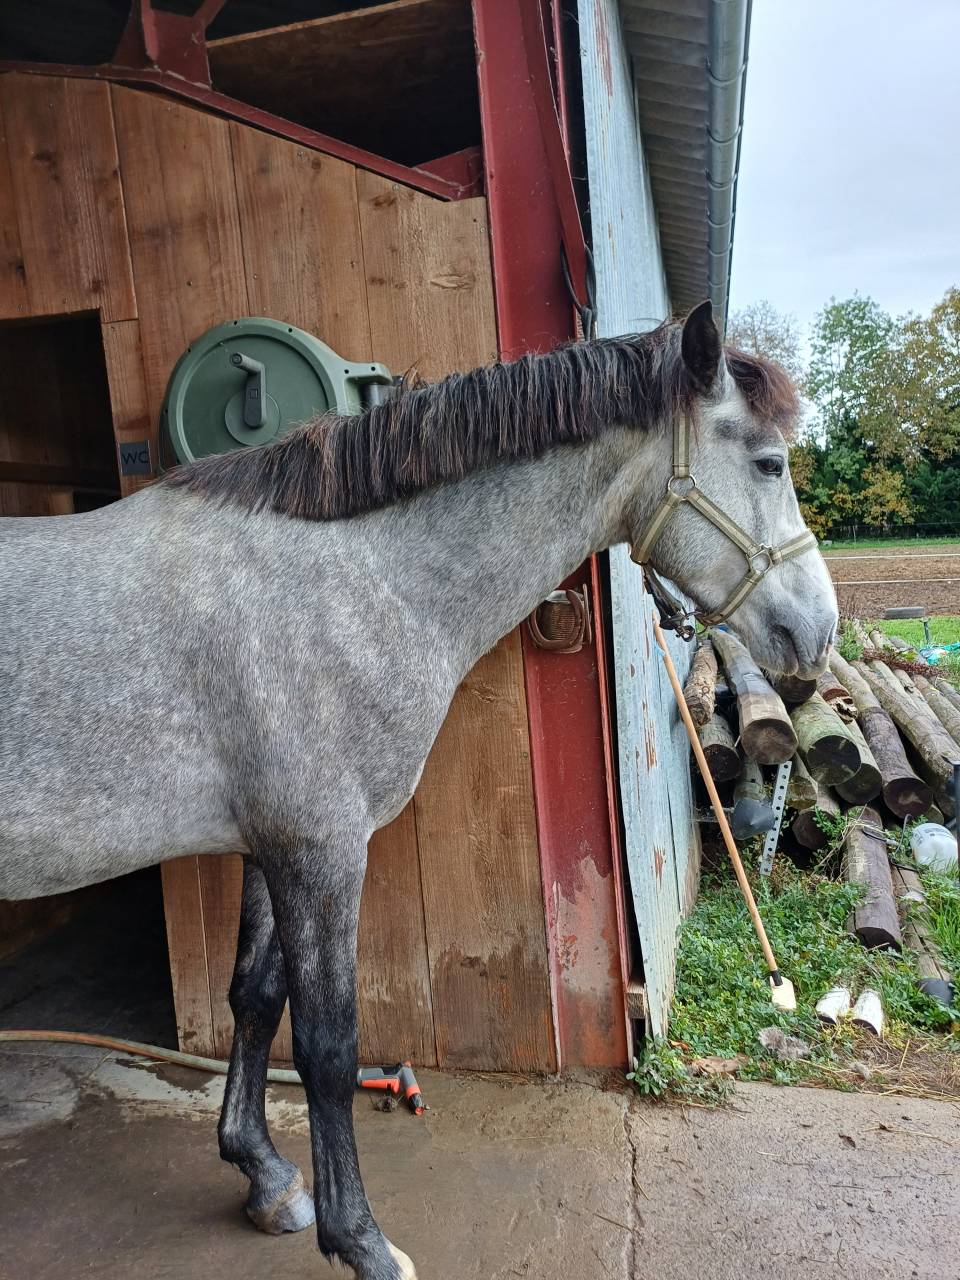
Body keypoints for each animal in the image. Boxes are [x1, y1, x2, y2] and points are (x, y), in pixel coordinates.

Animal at [0, 300, 838, 1280]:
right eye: (769, 462)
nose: (816, 632)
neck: (341, 580)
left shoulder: (270, 846)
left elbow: (254, 999)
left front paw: (264, 1176)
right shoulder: (321, 850)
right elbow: (327, 1047)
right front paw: (360, 1240)